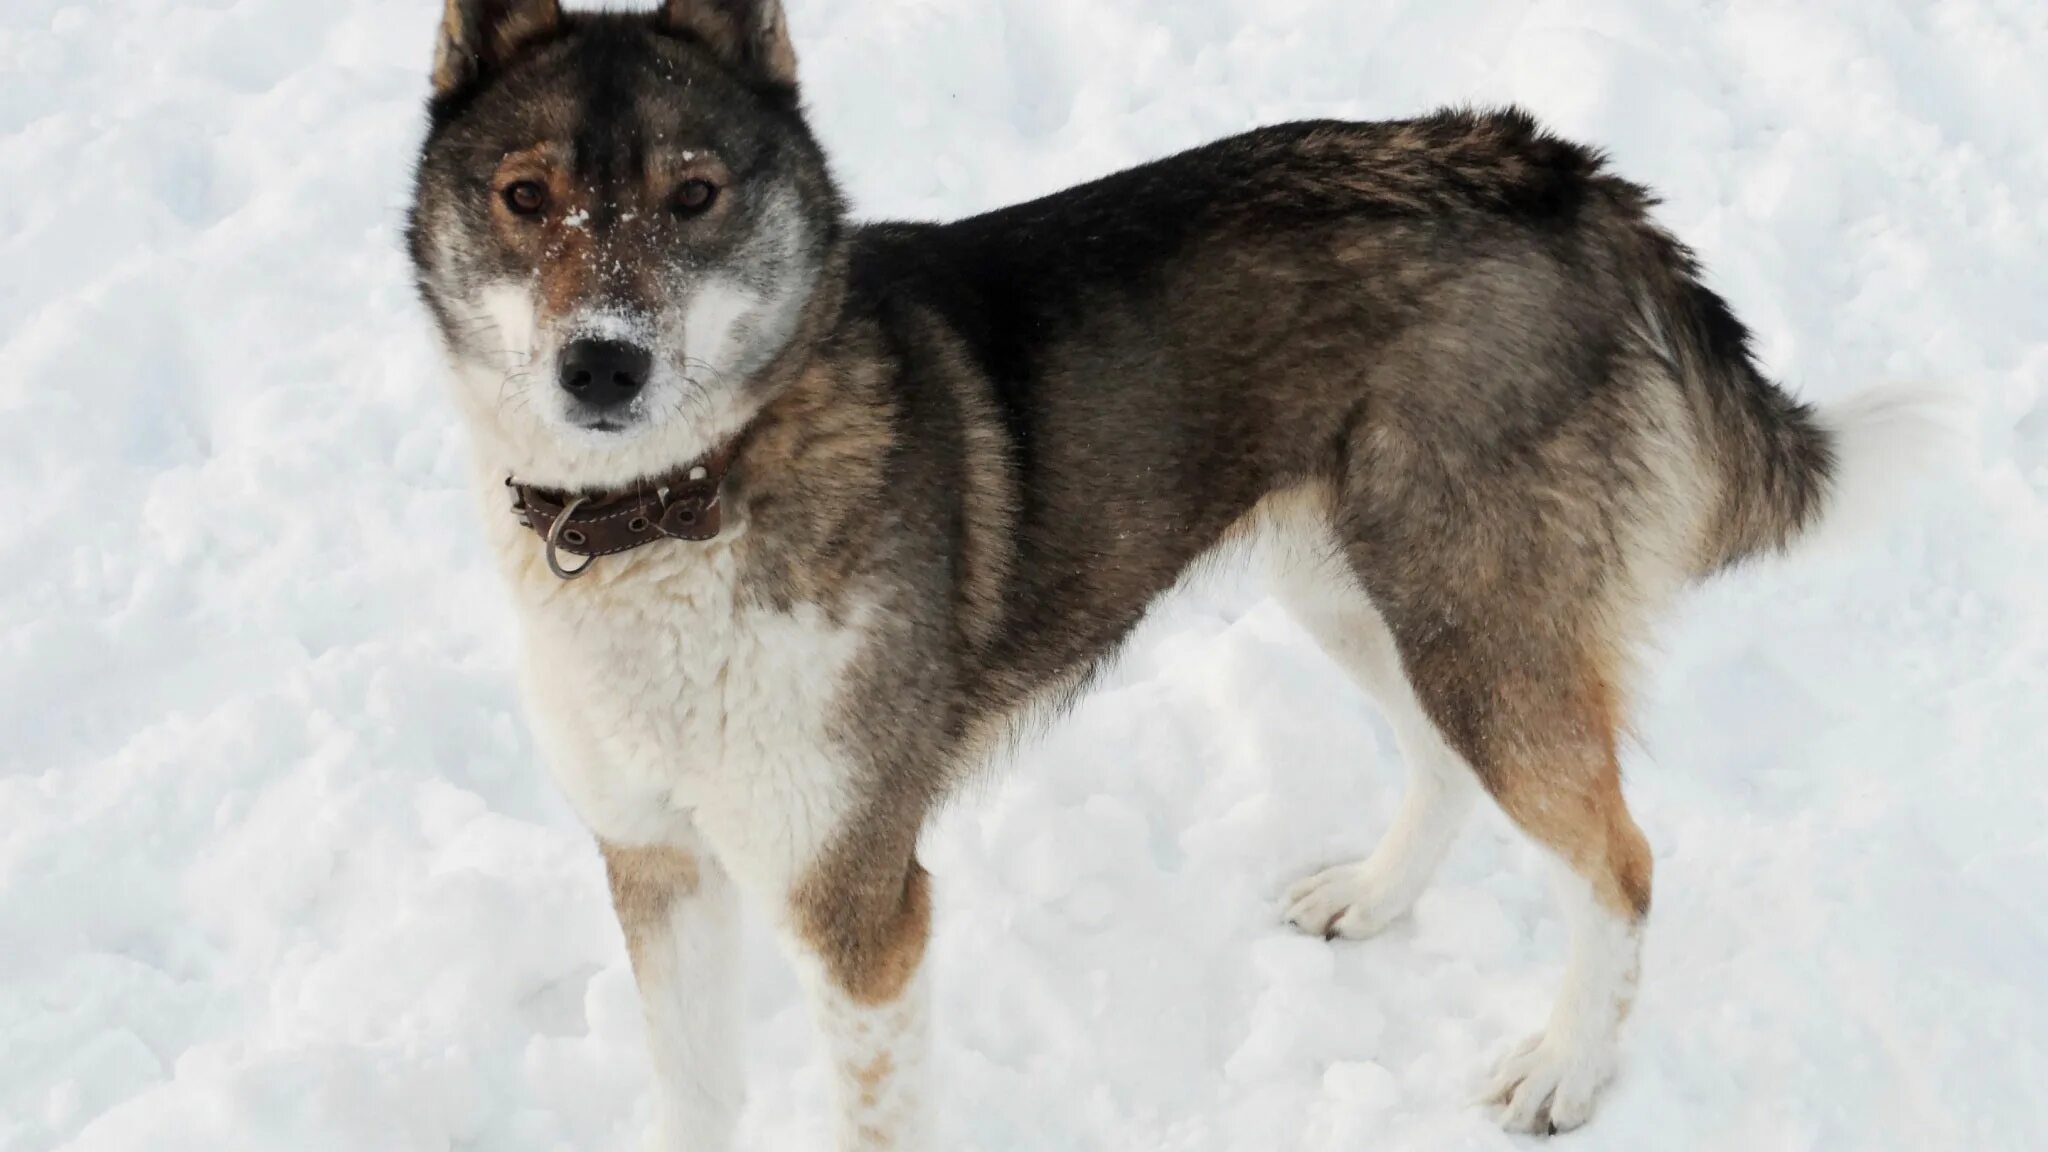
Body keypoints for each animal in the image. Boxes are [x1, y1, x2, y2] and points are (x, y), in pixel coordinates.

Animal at [407, 0, 1941, 1139]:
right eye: (525, 196)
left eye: (696, 196)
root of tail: (1559, 171)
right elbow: (693, 1094)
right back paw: (1370, 899)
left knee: (1617, 858)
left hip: (1473, 617)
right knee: (1444, 764)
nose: (601, 365)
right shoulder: (655, 860)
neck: (676, 506)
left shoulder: (861, 908)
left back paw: (1564, 1067)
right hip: (1365, 591)